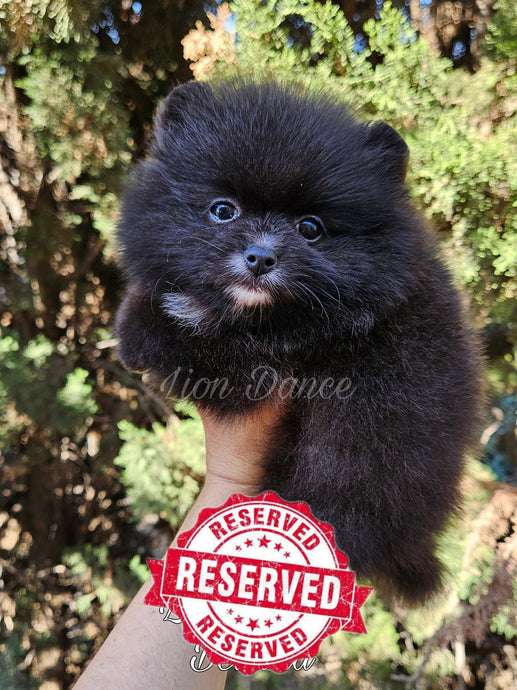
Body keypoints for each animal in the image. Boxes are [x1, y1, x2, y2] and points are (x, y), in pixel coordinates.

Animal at [115, 78, 482, 600]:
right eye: (222, 211)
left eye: (311, 228)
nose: (260, 256)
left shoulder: (261, 366)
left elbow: (203, 340)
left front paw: (140, 327)